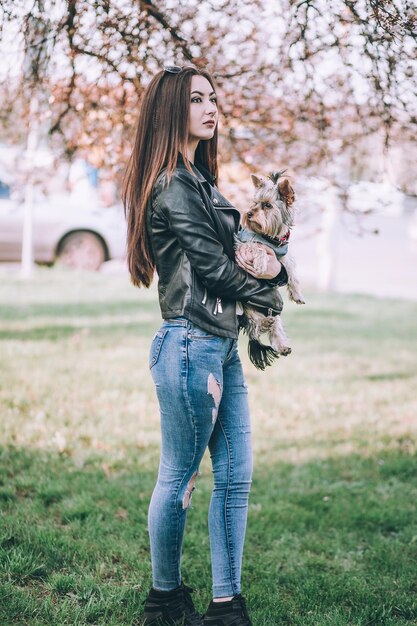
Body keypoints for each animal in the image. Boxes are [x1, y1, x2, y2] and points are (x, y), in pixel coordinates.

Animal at [236, 168, 304, 368]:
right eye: (254, 203)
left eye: (267, 205)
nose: (249, 213)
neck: (270, 238)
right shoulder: (243, 245)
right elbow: (257, 247)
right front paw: (260, 264)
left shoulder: (283, 255)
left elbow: (291, 270)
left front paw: (297, 294)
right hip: (247, 307)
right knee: (255, 325)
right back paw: (264, 324)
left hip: (273, 309)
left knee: (275, 325)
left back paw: (282, 345)